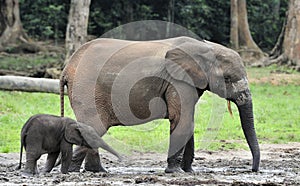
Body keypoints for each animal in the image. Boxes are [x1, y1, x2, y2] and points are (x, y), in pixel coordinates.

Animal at [59, 36, 258, 173]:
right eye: (227, 79)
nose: (252, 170)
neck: (206, 47)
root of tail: (66, 68)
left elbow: (188, 122)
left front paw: (189, 172)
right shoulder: (178, 82)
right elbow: (182, 120)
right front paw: (176, 172)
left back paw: (97, 172)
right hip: (87, 90)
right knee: (94, 128)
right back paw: (74, 171)